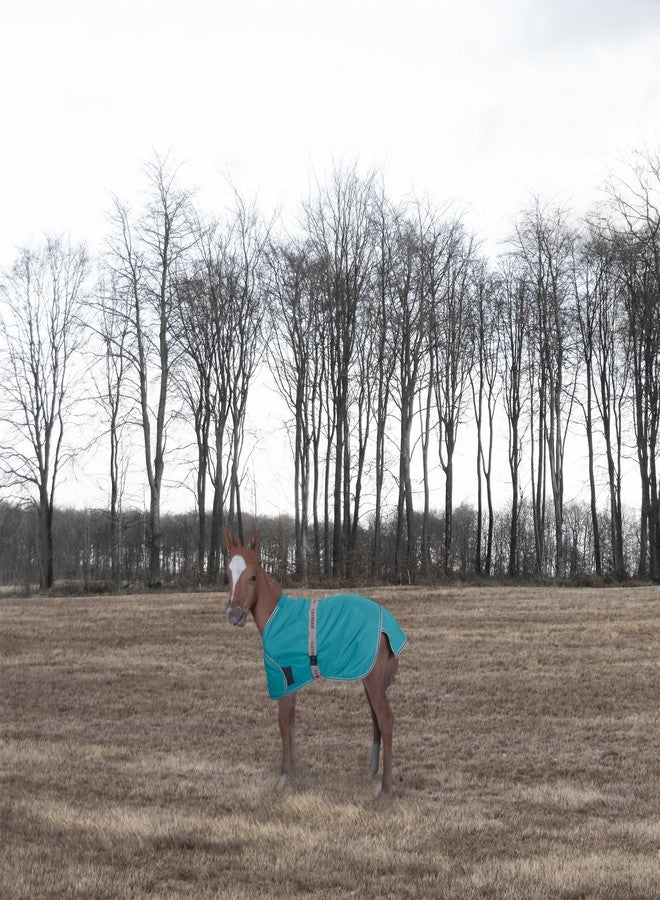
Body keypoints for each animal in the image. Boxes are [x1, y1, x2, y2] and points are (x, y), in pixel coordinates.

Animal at [223, 527, 408, 796]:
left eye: (253, 576)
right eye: (227, 575)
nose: (234, 614)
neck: (276, 617)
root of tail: (388, 623)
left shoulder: (282, 676)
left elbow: (283, 722)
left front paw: (282, 778)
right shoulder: (293, 679)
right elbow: (291, 721)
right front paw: (293, 773)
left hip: (373, 679)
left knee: (385, 719)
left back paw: (385, 789)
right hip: (367, 677)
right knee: (375, 719)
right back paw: (371, 772)